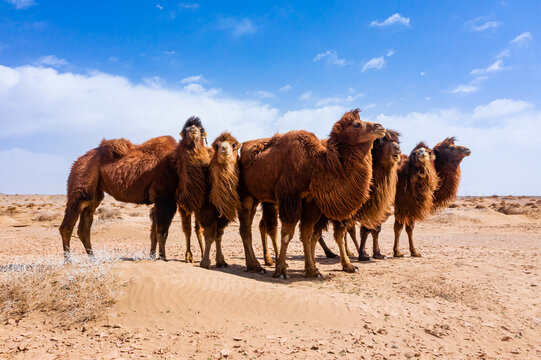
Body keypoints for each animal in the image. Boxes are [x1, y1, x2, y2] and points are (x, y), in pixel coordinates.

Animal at [237, 108, 384, 278]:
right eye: (356, 124)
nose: (380, 127)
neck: (314, 164)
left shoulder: (310, 199)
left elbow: (307, 233)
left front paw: (312, 270)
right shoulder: (290, 196)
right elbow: (287, 233)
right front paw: (281, 271)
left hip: (257, 198)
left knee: (251, 227)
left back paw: (254, 265)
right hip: (246, 195)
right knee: (247, 229)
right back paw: (256, 265)